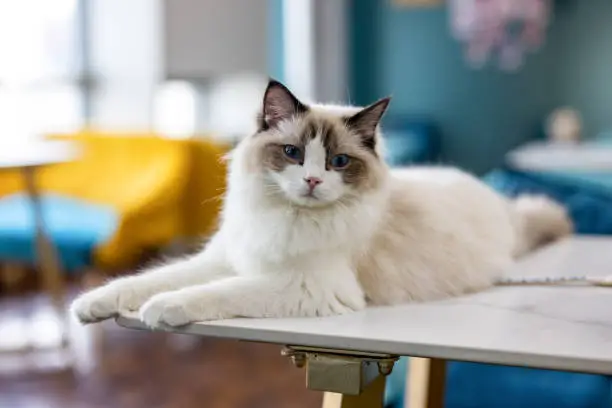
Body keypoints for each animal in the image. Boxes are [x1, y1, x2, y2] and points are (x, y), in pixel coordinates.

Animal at [71, 79, 572, 328]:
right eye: (293, 153)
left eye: (338, 161)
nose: (312, 180)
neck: (286, 218)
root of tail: (501, 204)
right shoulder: (227, 260)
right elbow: (141, 281)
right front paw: (91, 305)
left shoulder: (303, 286)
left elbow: (208, 292)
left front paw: (161, 310)